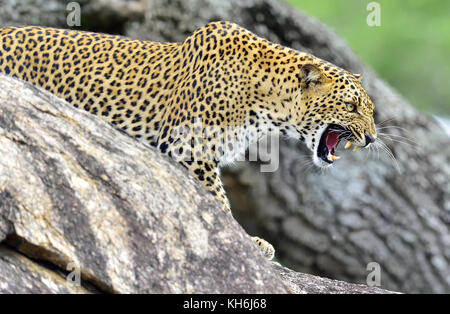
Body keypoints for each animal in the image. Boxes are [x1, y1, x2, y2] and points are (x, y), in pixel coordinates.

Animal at [0, 20, 378, 260]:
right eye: (351, 106)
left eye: (370, 110)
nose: (373, 138)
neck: (266, 102)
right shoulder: (190, 147)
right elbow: (217, 202)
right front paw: (248, 242)